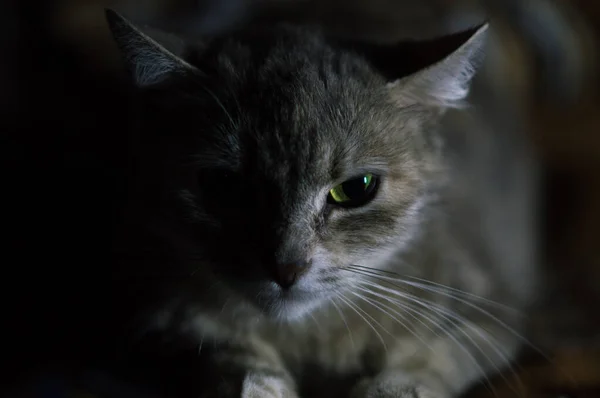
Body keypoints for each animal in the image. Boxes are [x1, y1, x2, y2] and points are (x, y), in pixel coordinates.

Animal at [106, 7, 540, 398]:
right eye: (224, 184)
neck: (310, 337)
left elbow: (428, 363)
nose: (286, 268)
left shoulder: (487, 312)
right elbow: (230, 358)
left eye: (356, 188)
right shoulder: (159, 307)